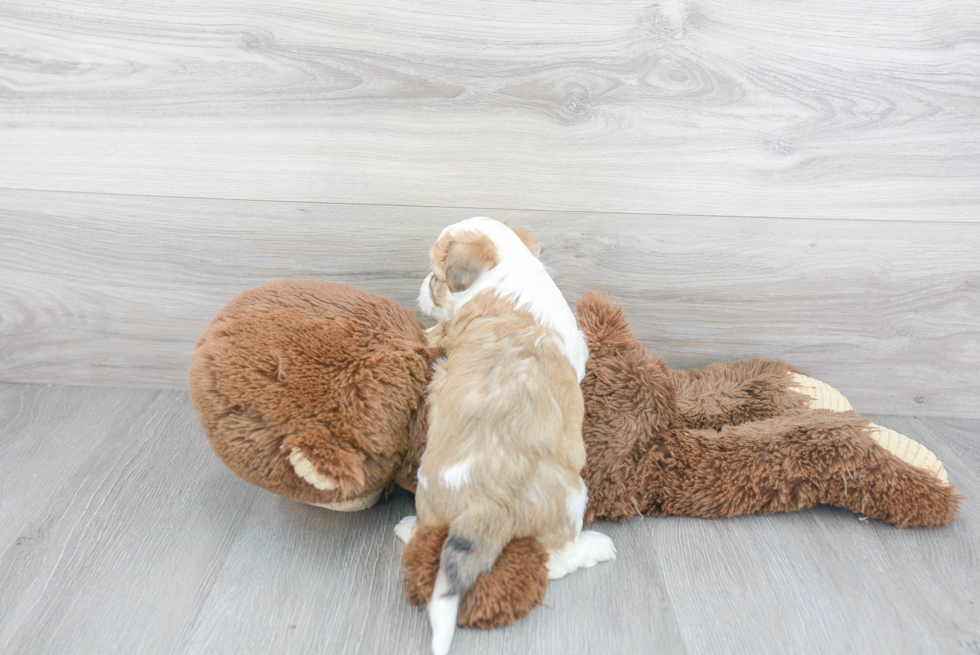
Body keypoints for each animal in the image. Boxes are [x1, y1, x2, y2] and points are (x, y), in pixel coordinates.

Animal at [396, 219, 612, 655]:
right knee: (554, 557)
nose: (423, 287)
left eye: (436, 277)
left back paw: (408, 527)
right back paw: (594, 547)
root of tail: (484, 506)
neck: (510, 269)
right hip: (573, 498)